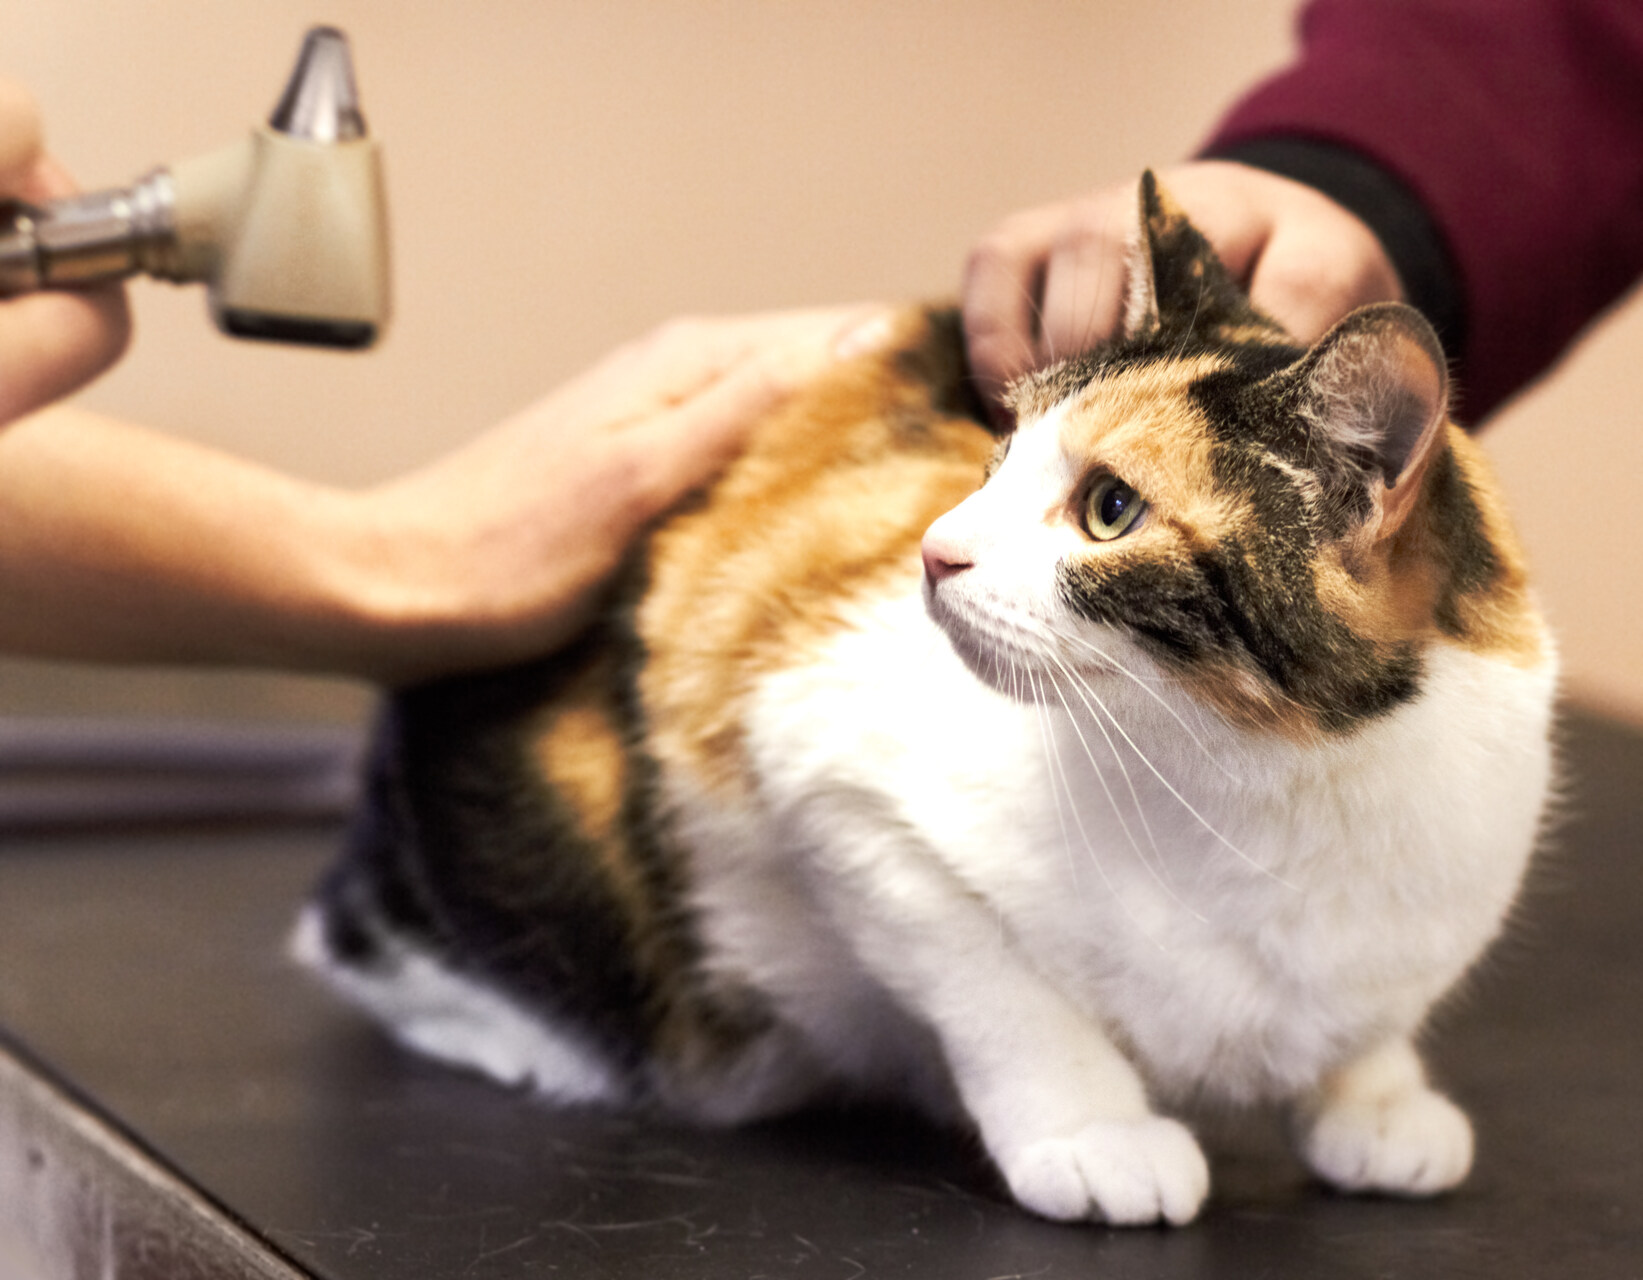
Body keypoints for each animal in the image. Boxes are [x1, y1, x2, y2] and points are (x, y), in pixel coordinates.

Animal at [295, 174, 1550, 1229]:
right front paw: (1092, 1127)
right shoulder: (824, 776)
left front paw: (1374, 1095)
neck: (1275, 781)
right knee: (358, 938)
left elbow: (1364, 1017)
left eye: (1108, 508)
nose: (934, 551)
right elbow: (1002, 990)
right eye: (994, 456)